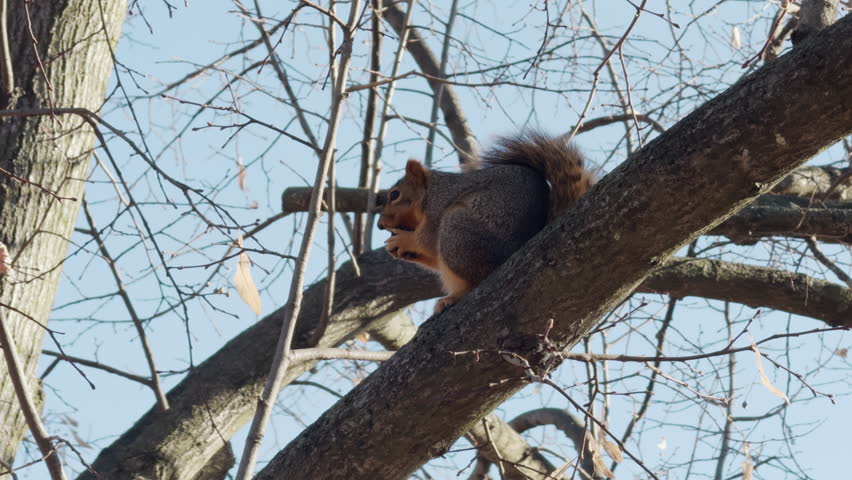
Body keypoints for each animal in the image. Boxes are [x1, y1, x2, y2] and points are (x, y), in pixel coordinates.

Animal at [377, 131, 594, 313]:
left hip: (456, 229)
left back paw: (452, 297)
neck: (430, 194)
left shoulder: (438, 208)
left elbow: (427, 241)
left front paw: (404, 240)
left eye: (394, 195)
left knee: (477, 278)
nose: (380, 225)